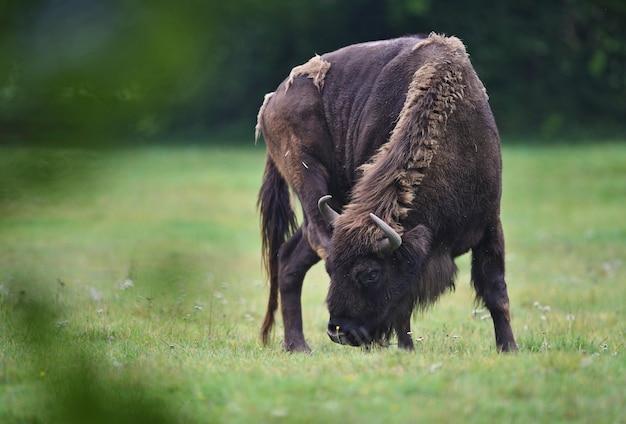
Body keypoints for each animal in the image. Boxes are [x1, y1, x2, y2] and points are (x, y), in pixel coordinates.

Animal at [254, 33, 516, 352]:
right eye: (332, 271)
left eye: (370, 274)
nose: (339, 331)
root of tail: (271, 101)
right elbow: (403, 307)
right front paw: (406, 349)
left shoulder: (490, 224)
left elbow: (496, 291)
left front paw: (509, 349)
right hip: (308, 178)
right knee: (312, 240)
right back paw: (299, 346)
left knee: (290, 258)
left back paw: (298, 346)